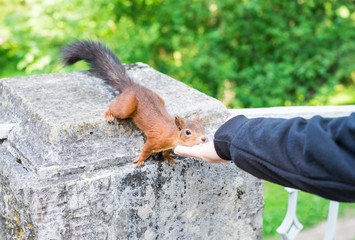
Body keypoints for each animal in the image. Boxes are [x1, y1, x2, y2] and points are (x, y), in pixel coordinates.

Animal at [60, 40, 207, 167]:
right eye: (188, 132)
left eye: (203, 127)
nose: (204, 139)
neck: (173, 133)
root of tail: (132, 86)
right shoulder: (155, 140)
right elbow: (146, 150)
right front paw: (140, 159)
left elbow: (165, 151)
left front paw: (167, 157)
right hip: (126, 106)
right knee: (114, 107)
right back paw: (109, 115)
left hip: (158, 98)